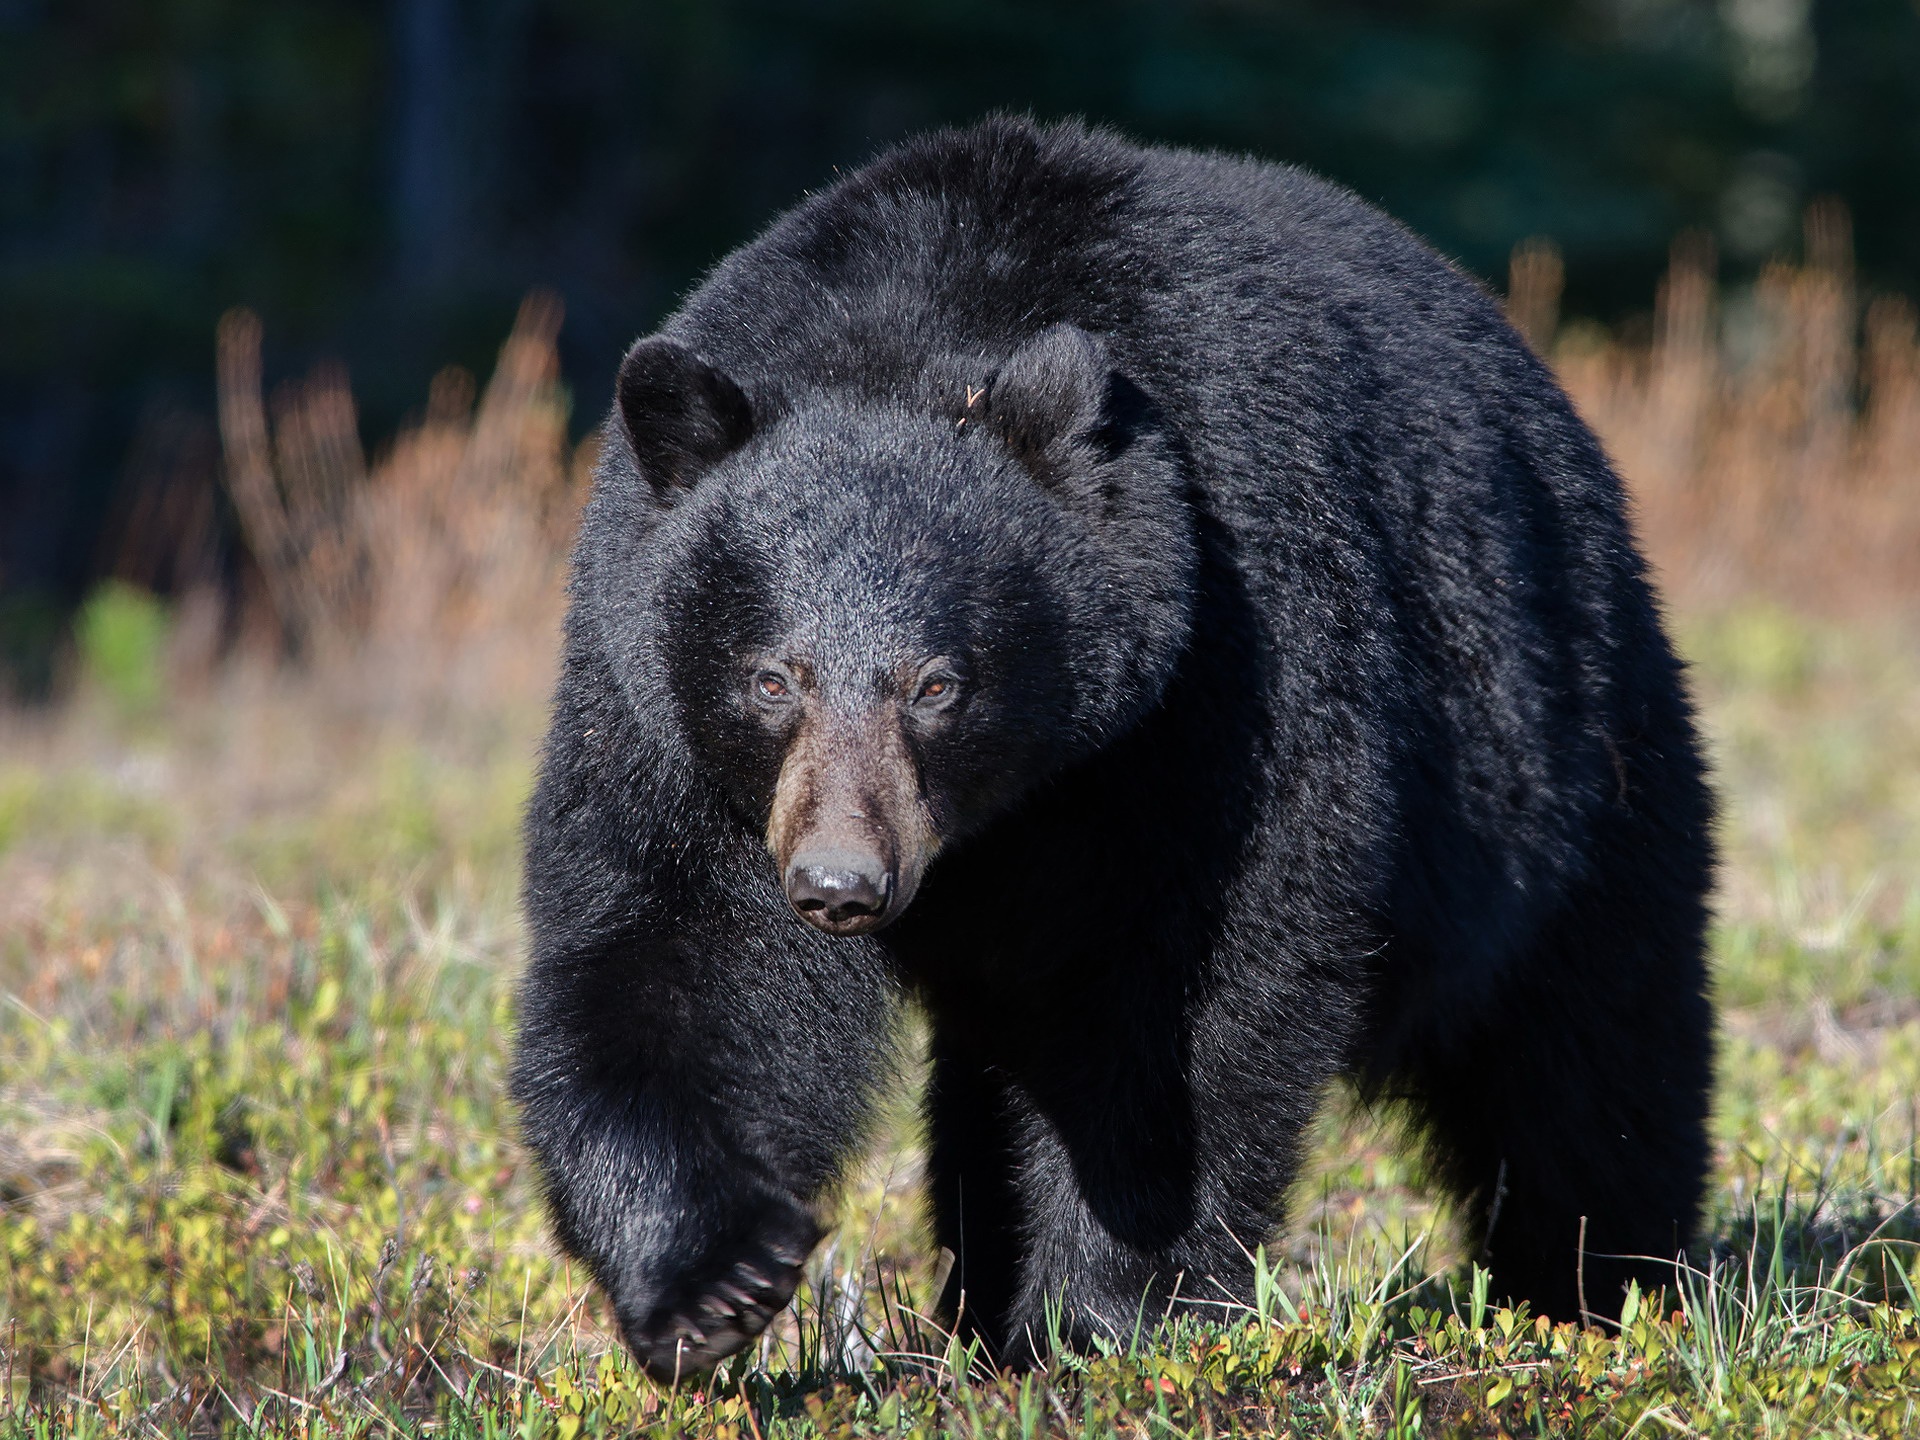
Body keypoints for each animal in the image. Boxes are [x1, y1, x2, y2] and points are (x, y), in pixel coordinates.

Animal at [510, 118, 1712, 1382]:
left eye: (938, 684)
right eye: (772, 678)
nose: (841, 884)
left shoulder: (1223, 662)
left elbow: (1200, 986)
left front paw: (1106, 1313)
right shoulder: (659, 712)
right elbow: (673, 947)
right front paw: (713, 1282)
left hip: (1572, 751)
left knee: (1591, 1041)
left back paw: (1602, 1282)